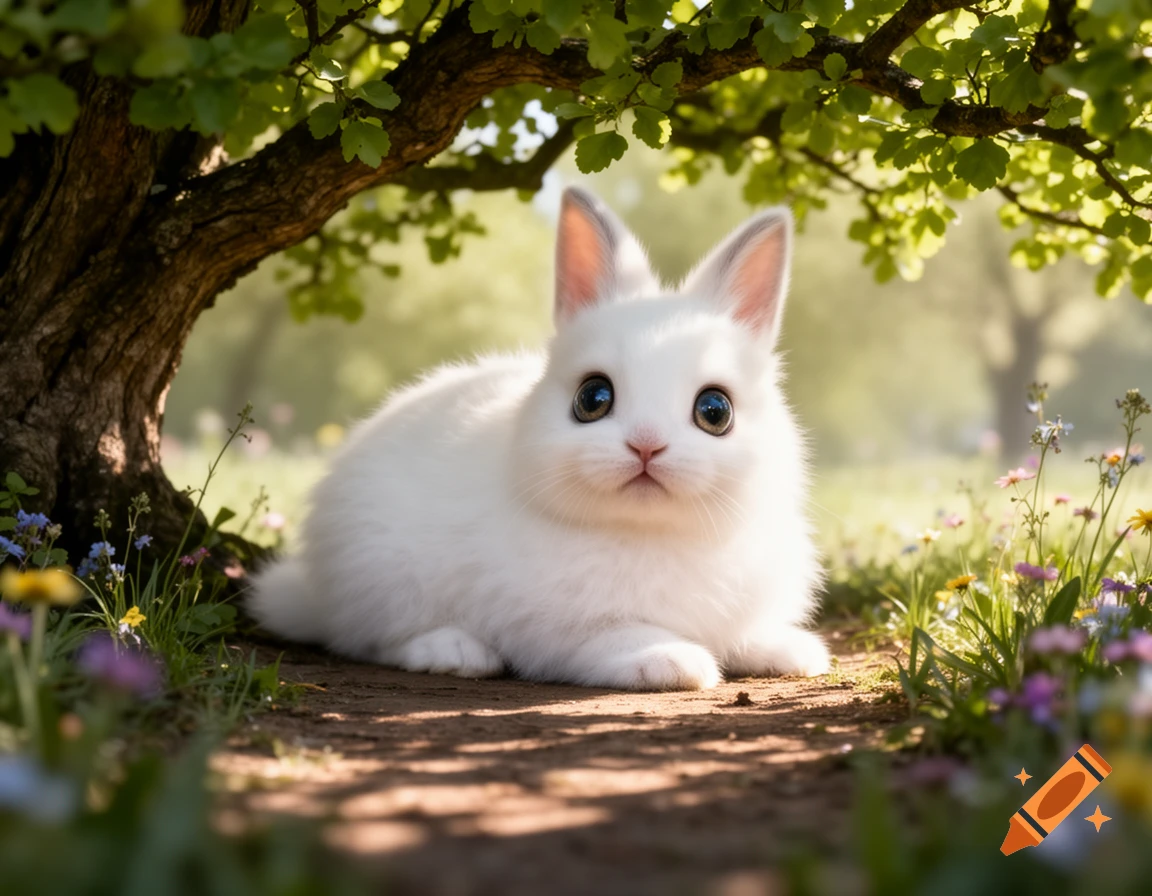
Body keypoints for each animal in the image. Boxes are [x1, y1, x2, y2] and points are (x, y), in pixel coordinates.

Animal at [247, 187, 830, 690]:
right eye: (593, 398)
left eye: (715, 410)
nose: (646, 445)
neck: (649, 530)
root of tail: (316, 590)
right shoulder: (558, 630)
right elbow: (620, 637)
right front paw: (674, 662)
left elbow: (746, 635)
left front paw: (798, 653)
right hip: (386, 581)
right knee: (369, 640)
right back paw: (455, 653)